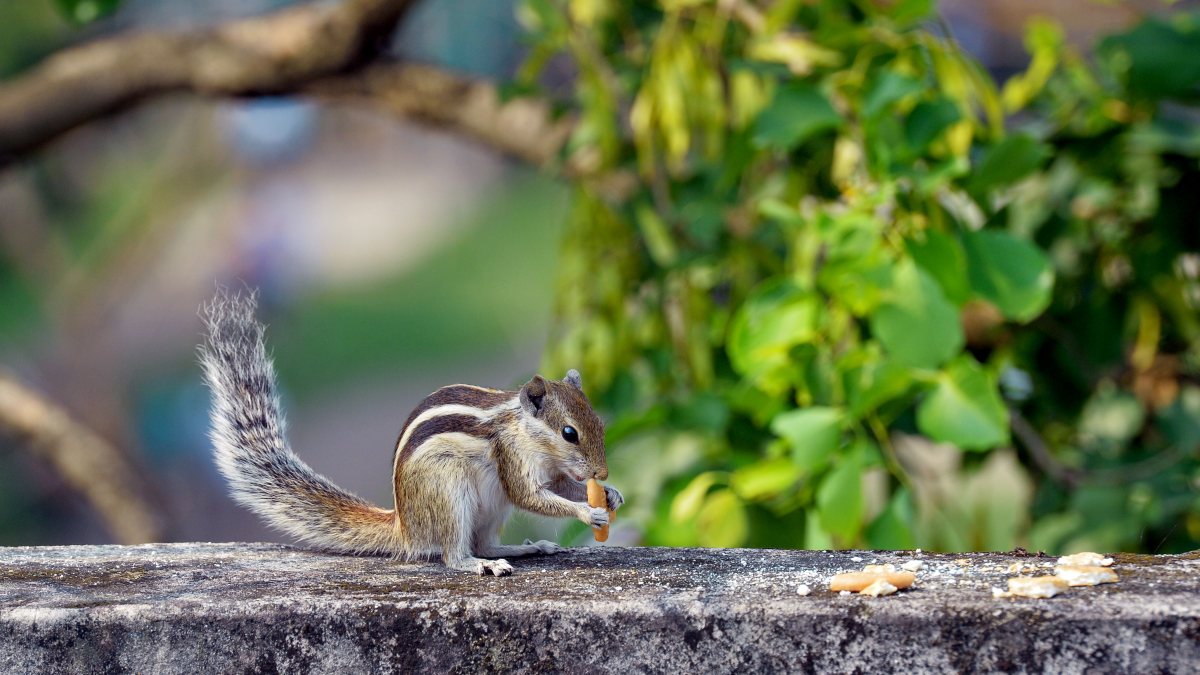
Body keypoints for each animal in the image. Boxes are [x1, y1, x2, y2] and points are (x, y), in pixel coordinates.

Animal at [198, 290, 623, 576]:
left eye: (599, 424)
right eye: (569, 433)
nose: (601, 473)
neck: (527, 432)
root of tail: (405, 526)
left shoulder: (554, 473)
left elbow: (561, 488)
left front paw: (610, 495)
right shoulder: (512, 459)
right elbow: (531, 497)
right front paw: (587, 511)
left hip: (489, 510)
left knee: (485, 544)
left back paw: (523, 550)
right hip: (449, 493)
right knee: (455, 554)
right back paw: (478, 566)